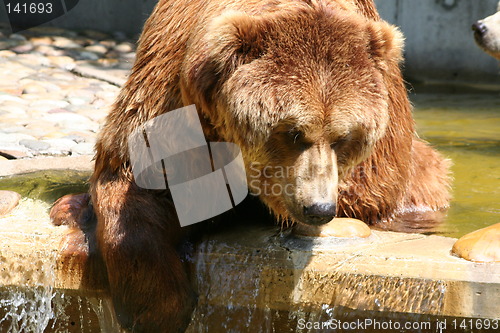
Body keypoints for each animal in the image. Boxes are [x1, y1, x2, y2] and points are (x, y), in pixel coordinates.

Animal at [51, 0, 454, 330]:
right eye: (293, 132)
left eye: (344, 137)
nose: (319, 208)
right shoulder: (168, 90)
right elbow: (134, 180)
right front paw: (156, 307)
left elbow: (371, 194)